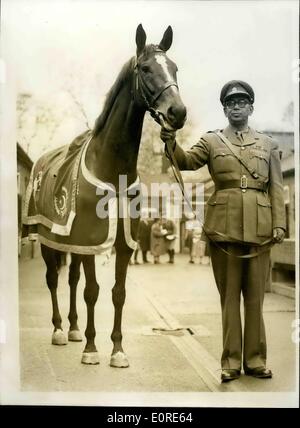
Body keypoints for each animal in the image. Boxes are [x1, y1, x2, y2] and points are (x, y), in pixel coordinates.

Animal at [23, 23, 186, 366]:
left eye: (175, 68)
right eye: (146, 68)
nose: (177, 112)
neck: (113, 169)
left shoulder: (122, 244)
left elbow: (117, 293)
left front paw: (117, 349)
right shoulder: (90, 240)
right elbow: (92, 291)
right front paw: (91, 348)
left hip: (70, 243)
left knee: (71, 278)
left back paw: (73, 328)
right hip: (47, 240)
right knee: (54, 278)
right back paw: (59, 330)